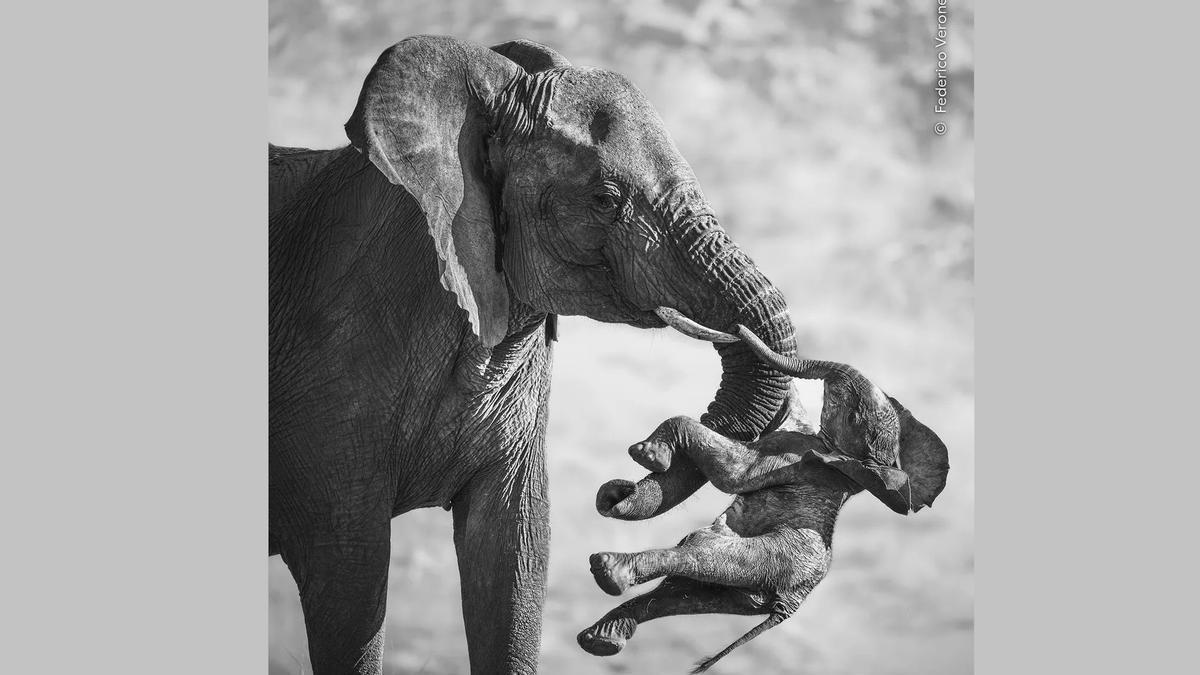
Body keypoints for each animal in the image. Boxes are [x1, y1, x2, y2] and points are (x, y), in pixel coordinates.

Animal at [578, 329, 950, 672]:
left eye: (853, 416)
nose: (736, 329)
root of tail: (789, 605)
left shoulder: (793, 457)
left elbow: (732, 474)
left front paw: (647, 455)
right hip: (748, 589)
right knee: (681, 593)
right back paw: (601, 638)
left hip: (774, 558)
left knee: (698, 552)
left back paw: (609, 572)